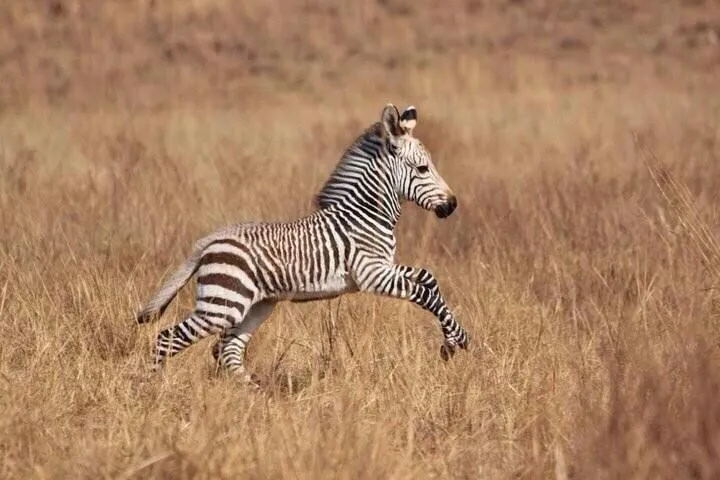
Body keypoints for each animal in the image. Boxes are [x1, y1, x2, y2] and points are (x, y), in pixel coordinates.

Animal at [136, 103, 469, 384]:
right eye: (423, 169)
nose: (452, 205)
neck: (364, 214)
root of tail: (210, 240)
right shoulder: (371, 274)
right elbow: (423, 294)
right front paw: (458, 339)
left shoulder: (385, 267)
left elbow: (429, 279)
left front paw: (452, 341)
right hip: (221, 306)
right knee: (168, 338)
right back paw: (153, 388)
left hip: (254, 305)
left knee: (227, 350)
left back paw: (257, 396)